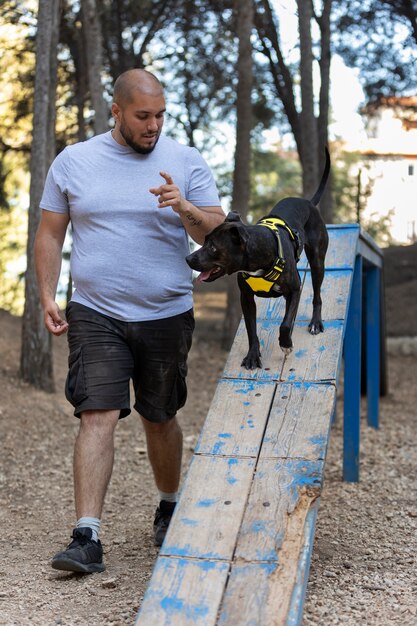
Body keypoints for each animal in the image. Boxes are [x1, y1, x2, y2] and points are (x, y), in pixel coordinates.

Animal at [185, 149, 328, 368]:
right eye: (204, 239)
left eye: (213, 247)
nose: (188, 258)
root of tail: (309, 203)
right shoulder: (246, 298)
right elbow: (251, 330)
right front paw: (253, 356)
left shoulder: (295, 290)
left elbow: (285, 324)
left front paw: (285, 343)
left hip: (317, 262)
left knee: (317, 296)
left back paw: (315, 323)